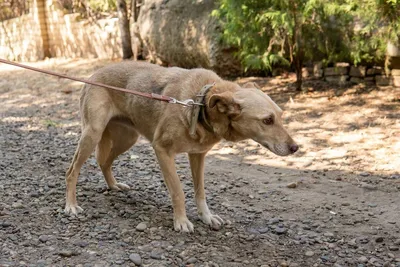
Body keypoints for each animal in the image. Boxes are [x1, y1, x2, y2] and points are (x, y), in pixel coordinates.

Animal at [65, 61, 296, 233]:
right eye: (267, 120)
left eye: (280, 116)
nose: (295, 148)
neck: (200, 104)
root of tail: (94, 74)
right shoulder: (162, 151)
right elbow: (178, 191)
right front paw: (181, 221)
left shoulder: (198, 156)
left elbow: (200, 192)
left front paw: (207, 217)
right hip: (92, 134)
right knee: (72, 171)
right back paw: (71, 205)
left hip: (127, 138)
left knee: (104, 161)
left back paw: (113, 185)